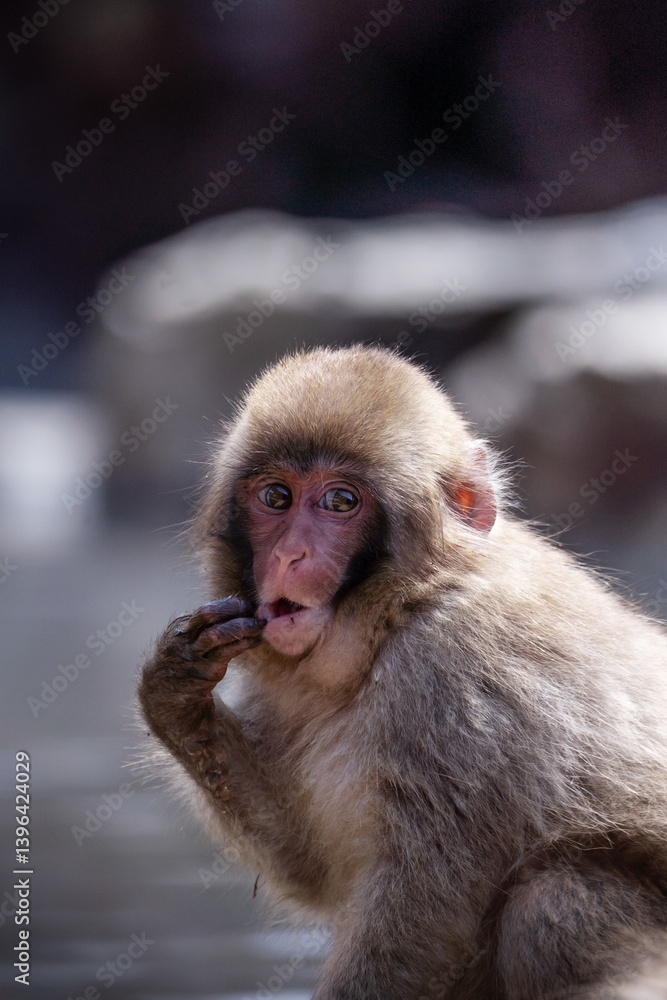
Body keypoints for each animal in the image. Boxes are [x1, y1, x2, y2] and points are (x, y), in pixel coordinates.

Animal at [138, 344, 667, 999]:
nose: (289, 555)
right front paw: (176, 696)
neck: (399, 610)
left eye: (340, 502)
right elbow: (310, 863)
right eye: (276, 497)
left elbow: (420, 912)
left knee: (552, 903)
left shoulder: (456, 682)